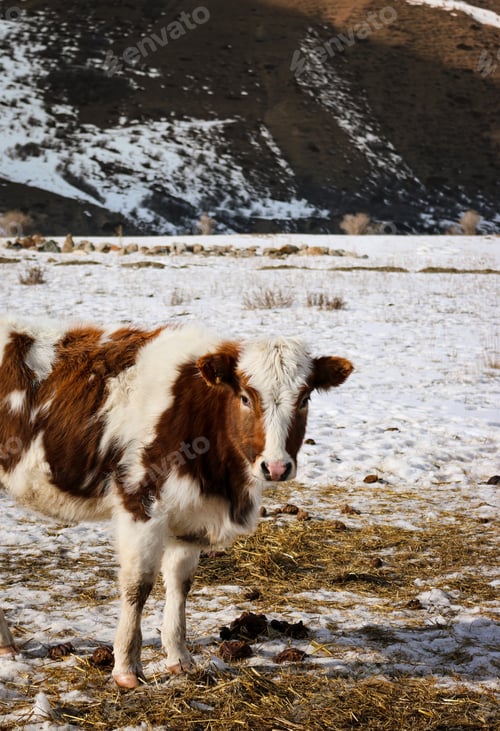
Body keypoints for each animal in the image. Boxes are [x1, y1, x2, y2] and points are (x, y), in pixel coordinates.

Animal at [0, 317, 353, 688]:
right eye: (245, 397)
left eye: (305, 398)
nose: (276, 466)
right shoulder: (140, 502)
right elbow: (137, 586)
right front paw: (126, 668)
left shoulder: (191, 516)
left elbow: (180, 584)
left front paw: (179, 658)